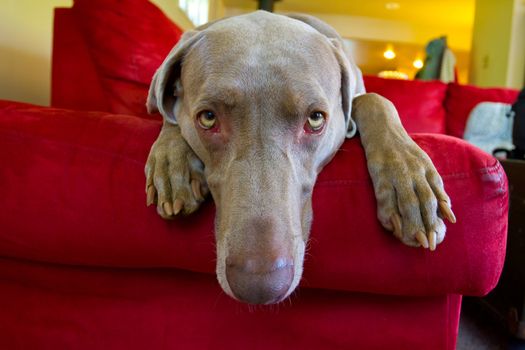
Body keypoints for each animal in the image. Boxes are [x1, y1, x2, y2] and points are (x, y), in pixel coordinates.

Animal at [144, 10, 454, 304]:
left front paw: (410, 186)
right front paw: (173, 163)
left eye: (315, 119)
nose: (259, 286)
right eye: (208, 118)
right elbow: (168, 112)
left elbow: (375, 100)